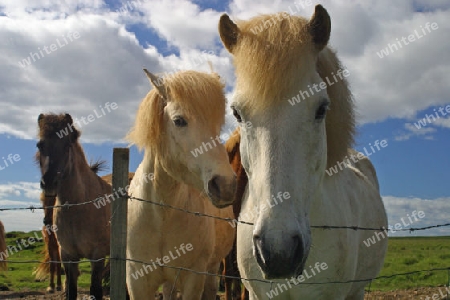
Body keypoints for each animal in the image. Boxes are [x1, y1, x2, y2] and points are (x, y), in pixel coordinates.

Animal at [37, 113, 113, 300]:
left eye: (67, 145)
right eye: (40, 145)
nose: (49, 183)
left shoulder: (97, 256)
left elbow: (95, 290)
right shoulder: (68, 256)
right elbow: (71, 290)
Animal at [125, 69, 237, 298]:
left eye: (218, 125)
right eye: (179, 121)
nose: (226, 186)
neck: (161, 216)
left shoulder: (194, 277)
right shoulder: (136, 280)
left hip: (212, 269)